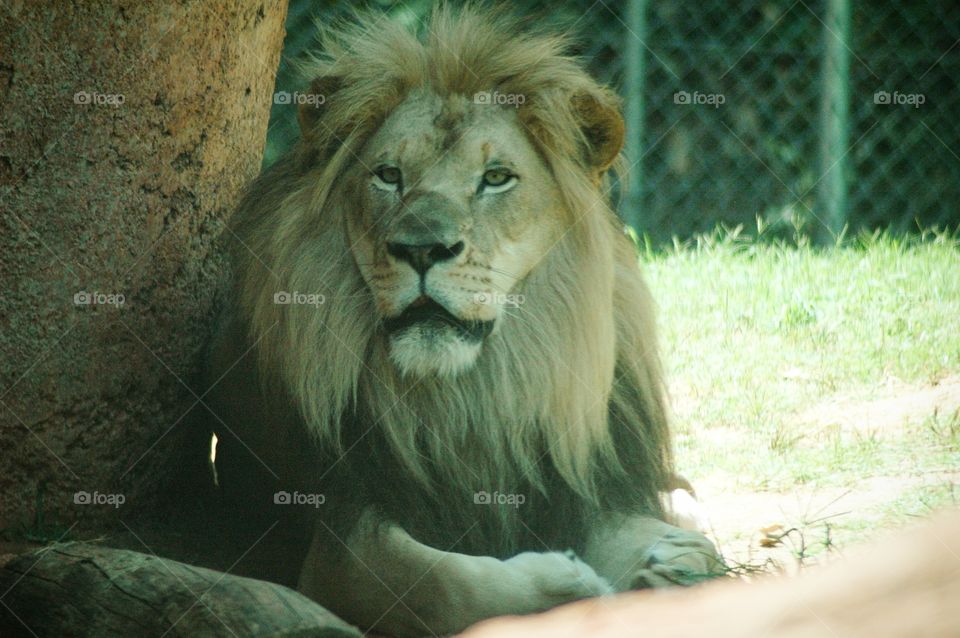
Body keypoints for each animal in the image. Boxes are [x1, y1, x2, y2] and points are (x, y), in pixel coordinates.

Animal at [206, 4, 721, 636]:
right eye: (388, 175)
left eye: (496, 178)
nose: (422, 248)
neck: (469, 399)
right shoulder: (341, 530)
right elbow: (431, 581)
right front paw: (566, 581)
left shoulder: (585, 487)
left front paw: (680, 563)